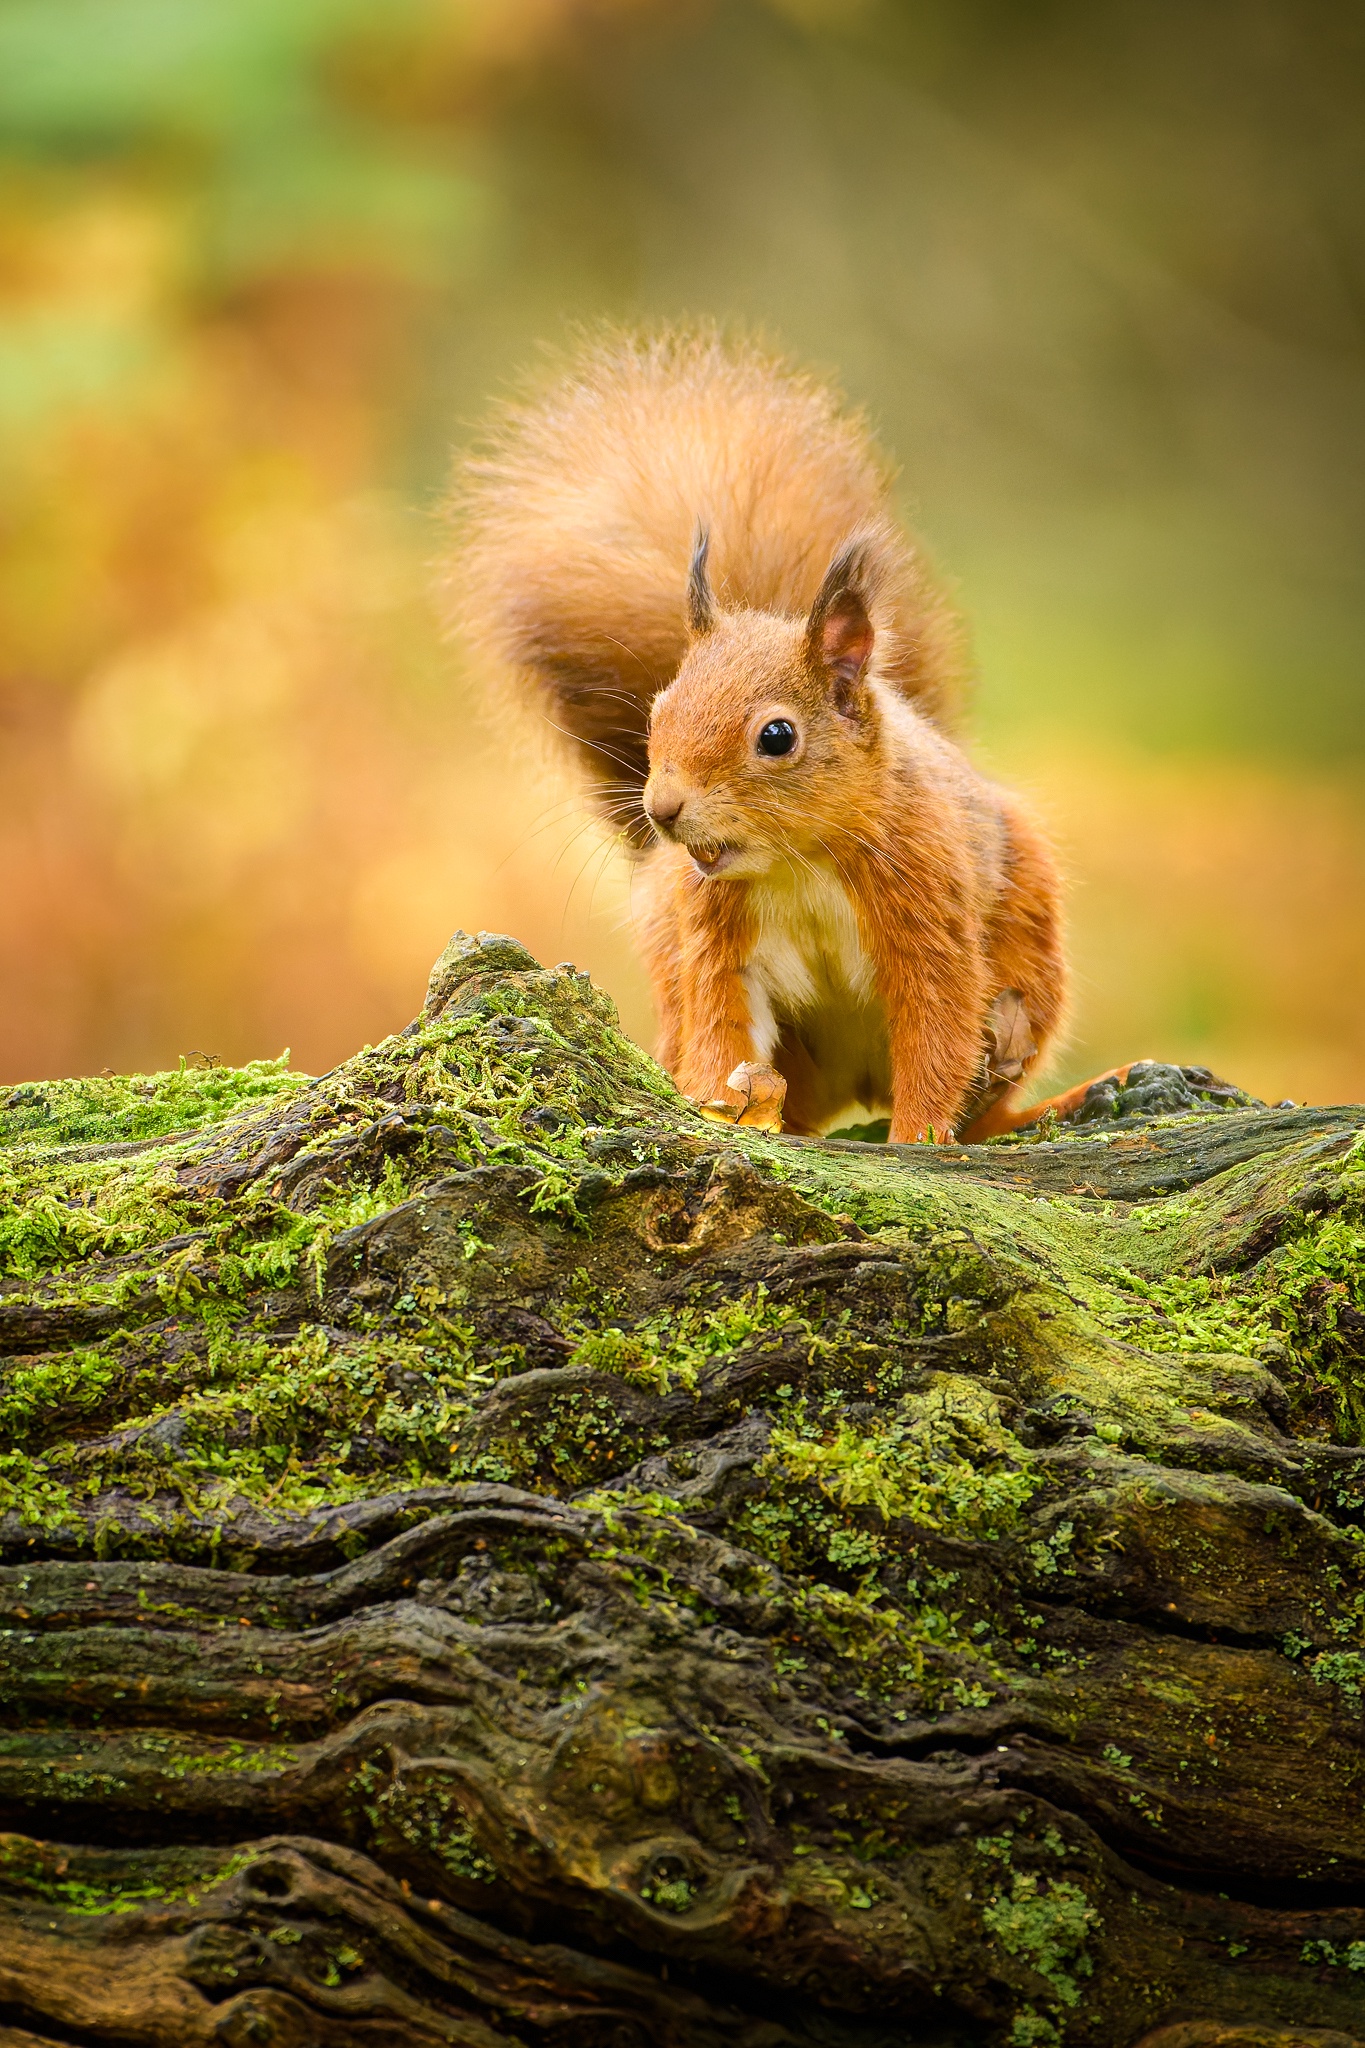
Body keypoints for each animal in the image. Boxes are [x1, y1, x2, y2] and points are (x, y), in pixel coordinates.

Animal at [448, 327, 1121, 1146]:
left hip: (1030, 944)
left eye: (775, 736)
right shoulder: (712, 936)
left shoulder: (925, 901)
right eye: (655, 713)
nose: (662, 810)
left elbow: (938, 1033)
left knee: (992, 1081)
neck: (797, 862)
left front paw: (920, 1139)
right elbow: (719, 1023)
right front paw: (722, 1109)